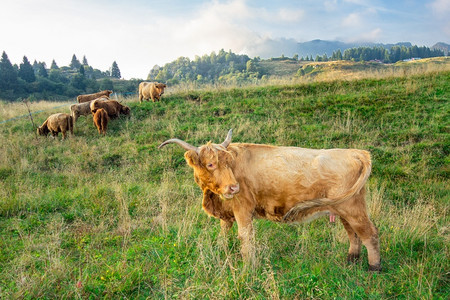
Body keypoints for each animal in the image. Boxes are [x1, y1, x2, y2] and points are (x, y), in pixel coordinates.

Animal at [160, 130, 382, 270]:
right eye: (210, 164)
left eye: (228, 162)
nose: (234, 187)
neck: (213, 198)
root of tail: (356, 152)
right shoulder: (227, 214)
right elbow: (223, 234)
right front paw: (222, 251)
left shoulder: (243, 209)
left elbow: (245, 237)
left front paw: (248, 266)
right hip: (343, 209)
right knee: (353, 234)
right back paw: (351, 259)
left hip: (352, 208)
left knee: (368, 233)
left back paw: (374, 267)